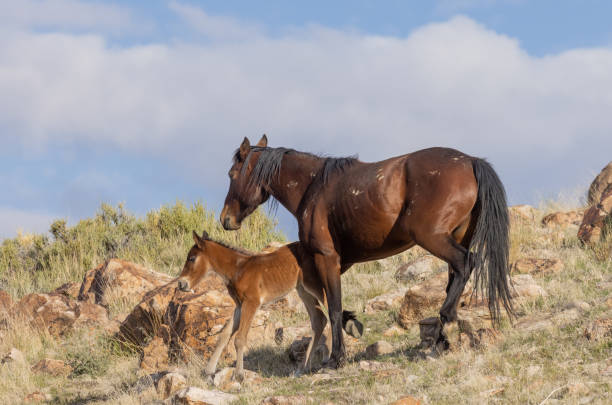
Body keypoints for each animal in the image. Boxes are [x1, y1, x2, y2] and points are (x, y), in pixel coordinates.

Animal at [176, 230, 358, 378]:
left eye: (192, 258)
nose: (181, 284)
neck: (238, 269)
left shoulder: (252, 303)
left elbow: (239, 338)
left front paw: (238, 375)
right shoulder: (240, 305)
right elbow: (224, 335)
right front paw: (208, 371)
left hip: (316, 287)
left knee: (332, 310)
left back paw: (328, 357)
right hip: (303, 290)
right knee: (319, 320)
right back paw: (303, 368)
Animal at [220, 135, 516, 366]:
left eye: (232, 175)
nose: (226, 219)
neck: (313, 187)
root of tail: (471, 161)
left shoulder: (326, 257)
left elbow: (333, 306)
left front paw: (337, 358)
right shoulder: (339, 261)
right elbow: (331, 303)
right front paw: (352, 325)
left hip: (435, 239)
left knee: (466, 263)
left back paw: (447, 323)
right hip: (454, 239)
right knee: (454, 278)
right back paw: (442, 337)